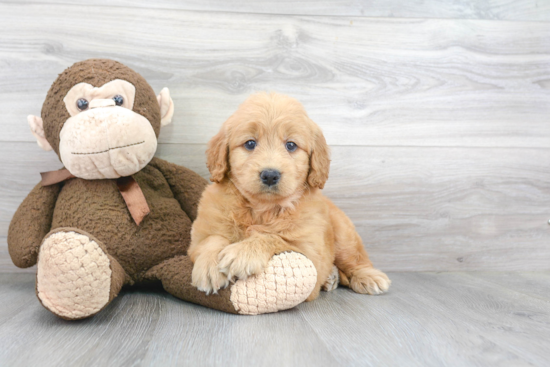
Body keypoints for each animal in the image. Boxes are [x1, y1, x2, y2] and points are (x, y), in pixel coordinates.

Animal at [190, 92, 392, 302]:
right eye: (250, 143)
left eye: (291, 145)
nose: (270, 175)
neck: (262, 209)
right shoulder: (199, 237)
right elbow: (211, 239)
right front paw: (209, 267)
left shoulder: (311, 255)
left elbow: (277, 238)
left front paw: (243, 252)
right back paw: (332, 277)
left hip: (344, 235)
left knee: (355, 259)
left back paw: (368, 277)